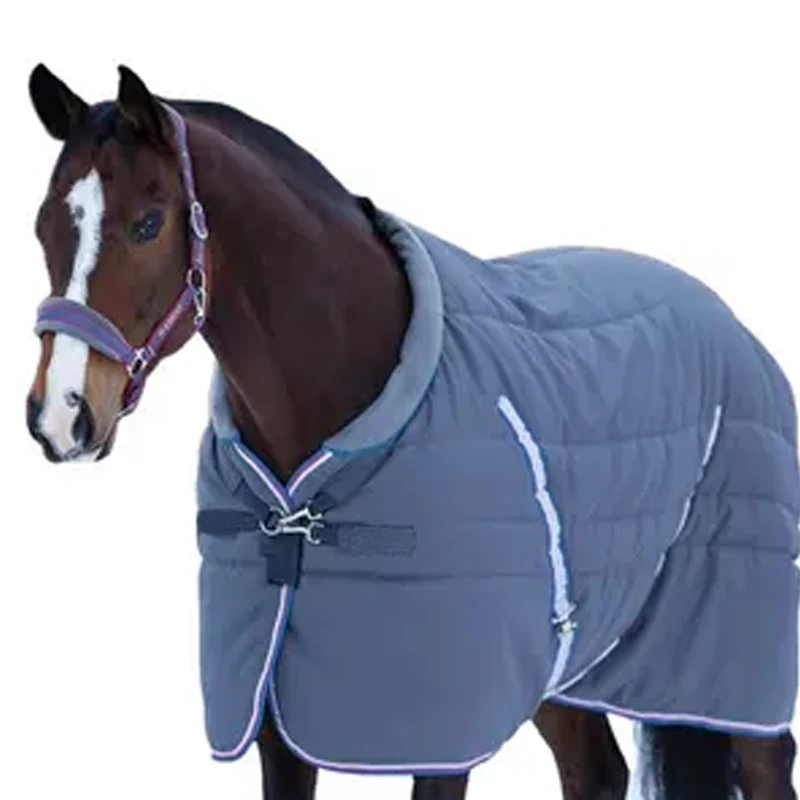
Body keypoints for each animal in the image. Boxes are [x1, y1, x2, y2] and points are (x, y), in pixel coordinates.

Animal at [24, 63, 799, 800]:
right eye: (43, 227)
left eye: (148, 223)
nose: (59, 414)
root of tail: (732, 325)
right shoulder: (273, 715)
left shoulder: (442, 732)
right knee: (597, 771)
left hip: (726, 662)